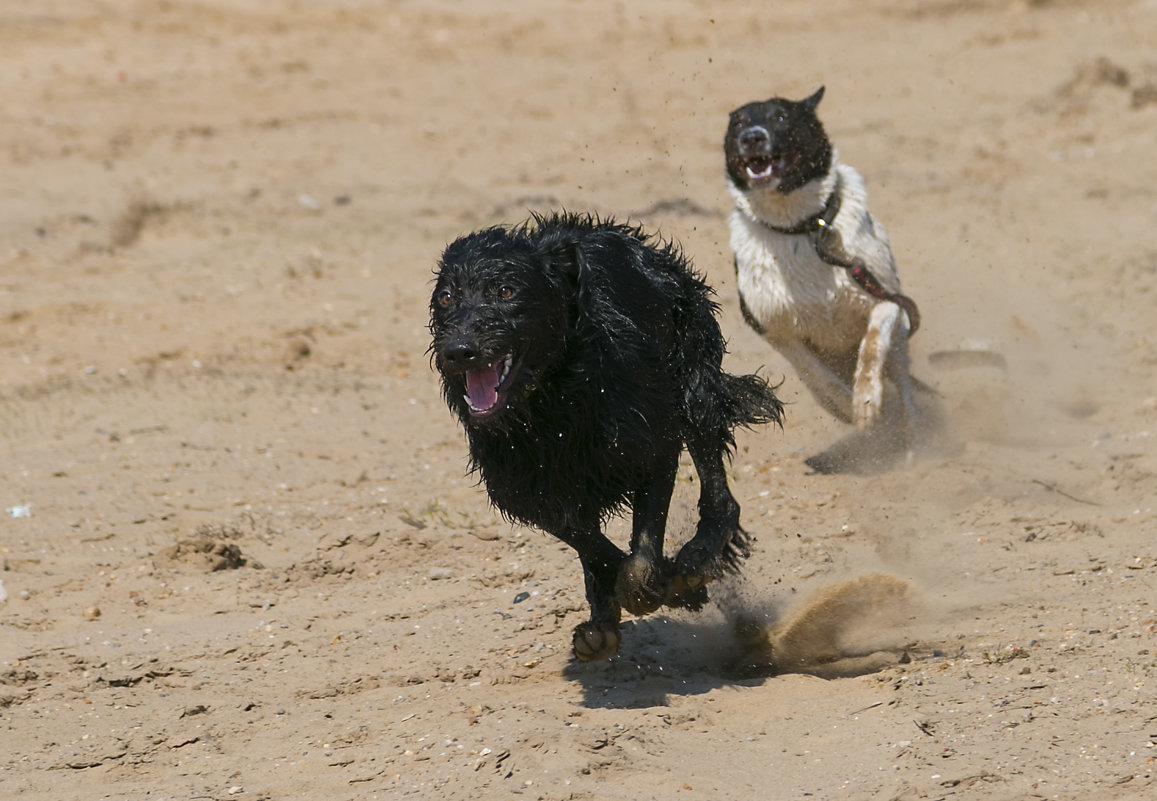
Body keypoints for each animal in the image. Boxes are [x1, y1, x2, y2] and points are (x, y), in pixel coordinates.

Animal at [430, 212, 782, 662]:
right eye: (446, 298)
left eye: (506, 290)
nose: (458, 350)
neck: (554, 401)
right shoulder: (530, 491)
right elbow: (595, 548)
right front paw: (644, 595)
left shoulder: (654, 447)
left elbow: (641, 547)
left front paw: (657, 584)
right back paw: (605, 621)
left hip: (693, 378)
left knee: (716, 483)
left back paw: (701, 553)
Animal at [726, 86, 925, 469]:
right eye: (739, 122)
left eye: (781, 117)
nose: (751, 138)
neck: (802, 227)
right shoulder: (773, 327)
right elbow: (815, 375)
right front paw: (846, 405)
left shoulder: (885, 299)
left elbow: (872, 346)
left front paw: (865, 400)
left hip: (900, 343)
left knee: (905, 392)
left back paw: (911, 445)